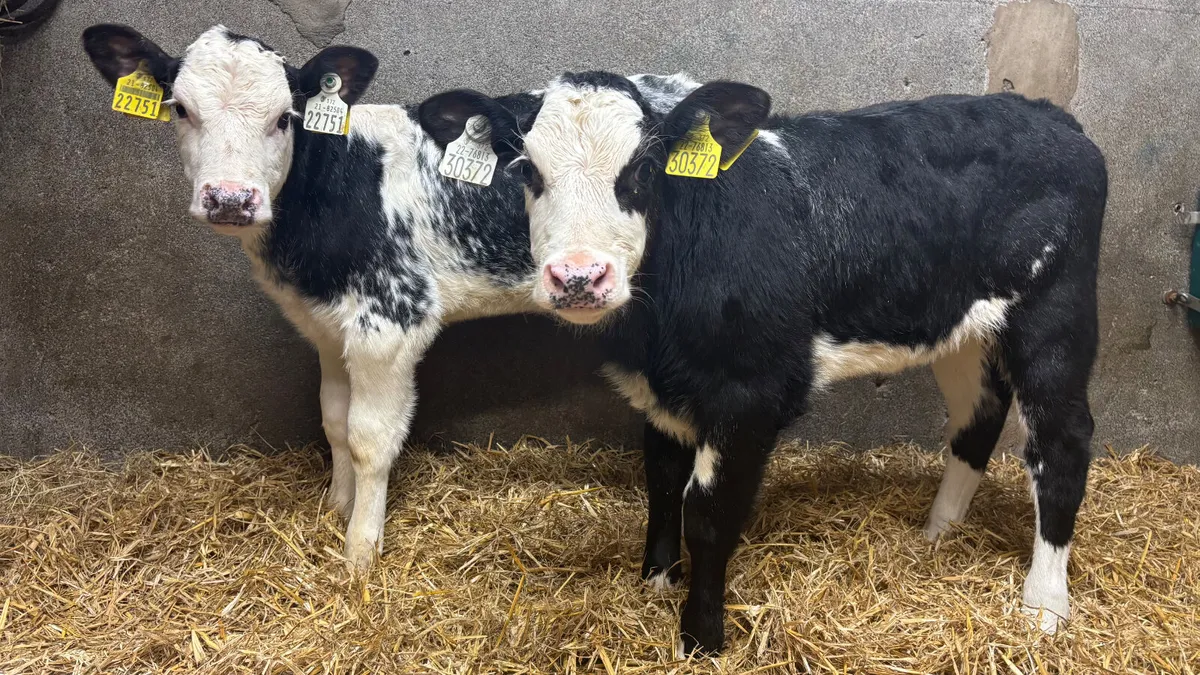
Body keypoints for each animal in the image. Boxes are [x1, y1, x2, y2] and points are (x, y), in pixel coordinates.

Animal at [421, 73, 1107, 654]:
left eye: (642, 168)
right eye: (526, 169)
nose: (579, 276)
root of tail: (1050, 116)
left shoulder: (750, 393)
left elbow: (707, 512)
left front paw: (698, 637)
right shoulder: (665, 393)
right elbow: (661, 480)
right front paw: (656, 582)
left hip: (1056, 314)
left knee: (1062, 444)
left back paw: (1044, 606)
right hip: (962, 328)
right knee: (977, 417)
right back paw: (938, 534)